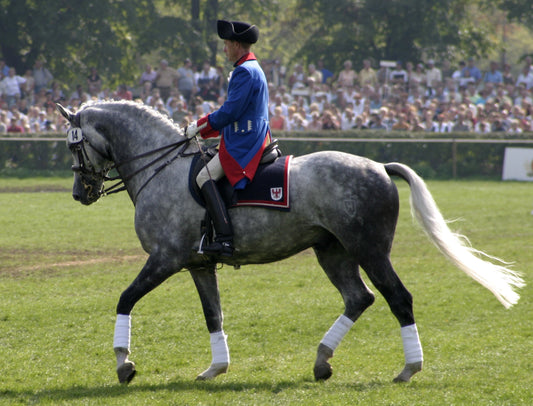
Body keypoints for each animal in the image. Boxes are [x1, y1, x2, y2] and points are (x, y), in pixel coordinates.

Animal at [56, 100, 520, 384]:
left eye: (74, 147)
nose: (80, 193)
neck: (162, 167)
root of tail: (378, 166)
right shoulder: (198, 264)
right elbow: (213, 315)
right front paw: (216, 368)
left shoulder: (164, 259)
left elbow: (125, 299)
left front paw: (124, 362)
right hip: (332, 252)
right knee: (359, 298)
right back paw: (322, 360)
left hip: (369, 251)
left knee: (397, 298)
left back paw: (410, 367)